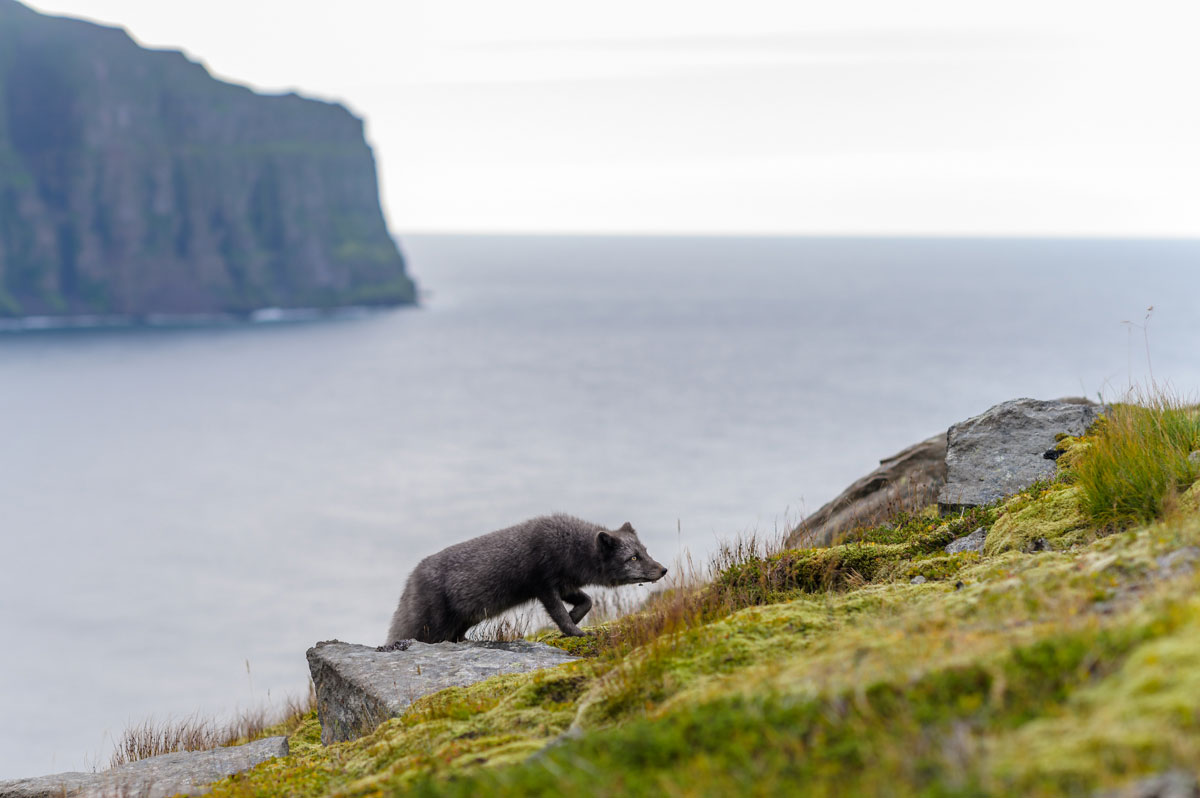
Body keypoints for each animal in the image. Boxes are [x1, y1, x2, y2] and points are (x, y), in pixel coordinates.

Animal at [384, 513, 667, 643]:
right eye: (633, 558)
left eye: (645, 551)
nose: (663, 570)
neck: (569, 546)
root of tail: (410, 580)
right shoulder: (544, 585)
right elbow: (560, 615)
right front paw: (575, 631)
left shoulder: (565, 584)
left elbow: (587, 601)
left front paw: (575, 618)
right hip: (430, 627)